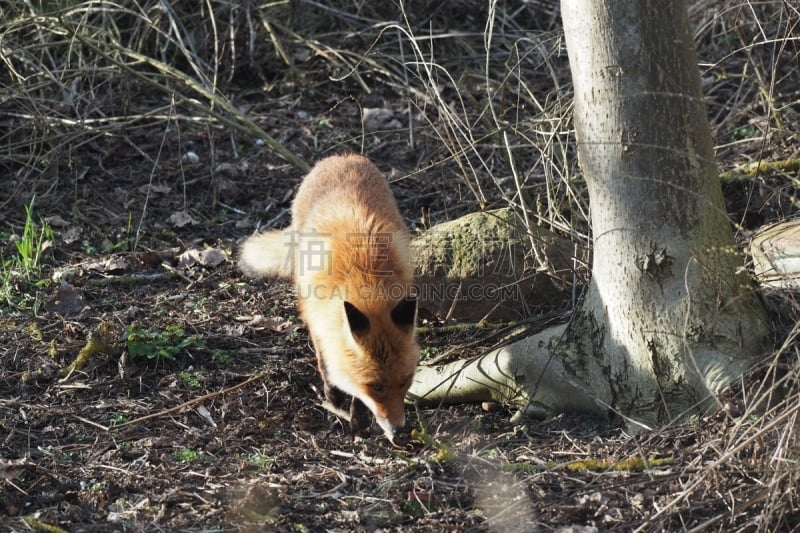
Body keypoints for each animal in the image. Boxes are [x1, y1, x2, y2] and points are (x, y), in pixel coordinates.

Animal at [241, 153, 418, 440]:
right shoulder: (315, 316)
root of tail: (342, 156)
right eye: (376, 387)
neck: (366, 282)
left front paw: (358, 413)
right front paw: (334, 396)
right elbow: (326, 359)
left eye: (405, 382)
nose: (398, 429)